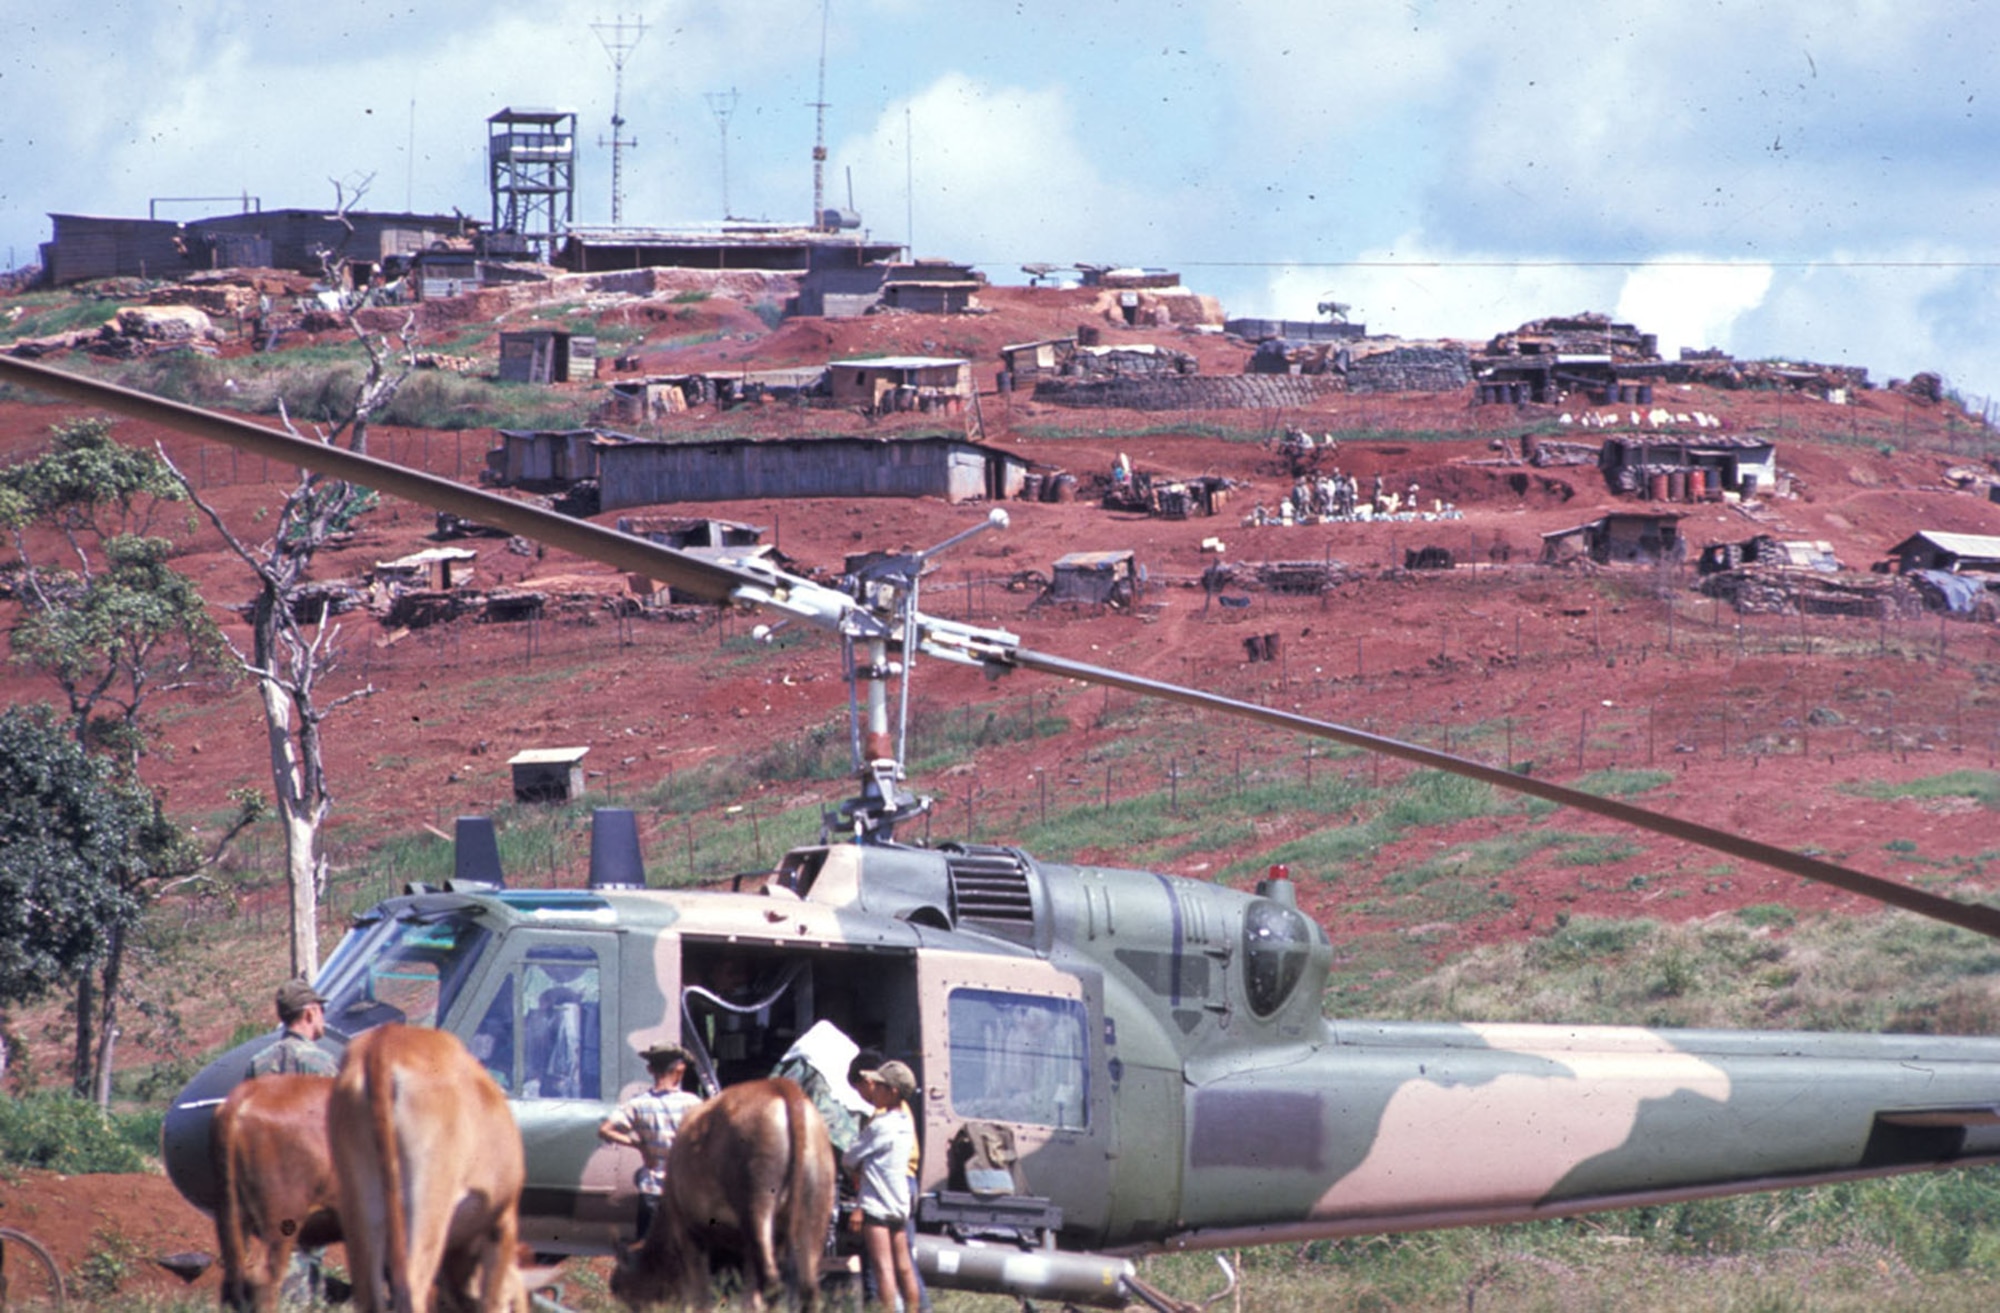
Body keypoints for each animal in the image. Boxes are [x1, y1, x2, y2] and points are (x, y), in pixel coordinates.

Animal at [624, 1080, 844, 1313]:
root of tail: (780, 1086)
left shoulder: (687, 1230)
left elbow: (701, 1293)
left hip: (756, 1202)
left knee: (771, 1280)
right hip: (816, 1204)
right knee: (807, 1287)